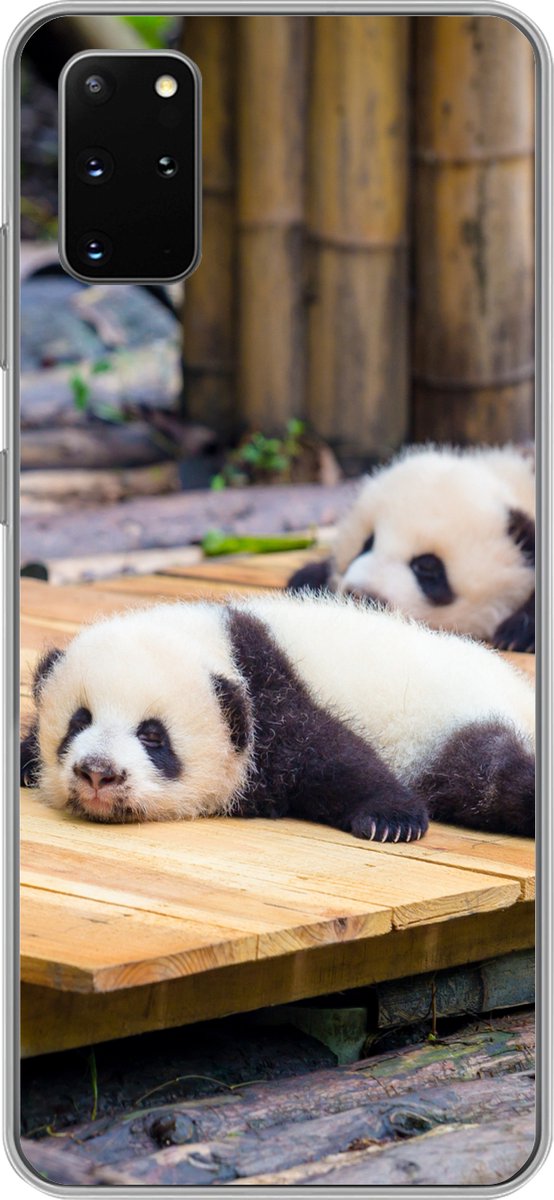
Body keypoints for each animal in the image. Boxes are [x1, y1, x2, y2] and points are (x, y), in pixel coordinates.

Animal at [20, 593, 534, 841]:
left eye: (152, 736)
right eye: (78, 722)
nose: (98, 773)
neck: (214, 642)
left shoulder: (272, 695)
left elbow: (335, 756)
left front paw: (392, 820)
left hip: (466, 721)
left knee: (492, 775)